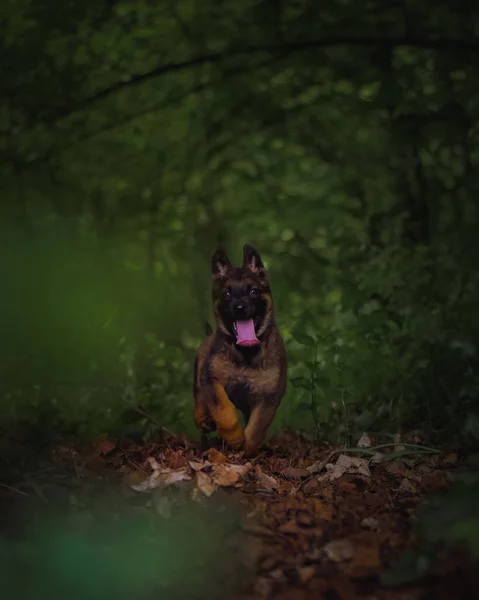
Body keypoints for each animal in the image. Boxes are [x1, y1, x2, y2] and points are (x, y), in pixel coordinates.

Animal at [193, 244, 286, 454]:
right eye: (227, 294)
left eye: (253, 291)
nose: (240, 307)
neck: (245, 354)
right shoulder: (210, 379)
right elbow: (224, 411)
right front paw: (234, 439)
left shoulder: (269, 396)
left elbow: (257, 428)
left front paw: (248, 449)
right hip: (199, 375)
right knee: (200, 399)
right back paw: (204, 420)